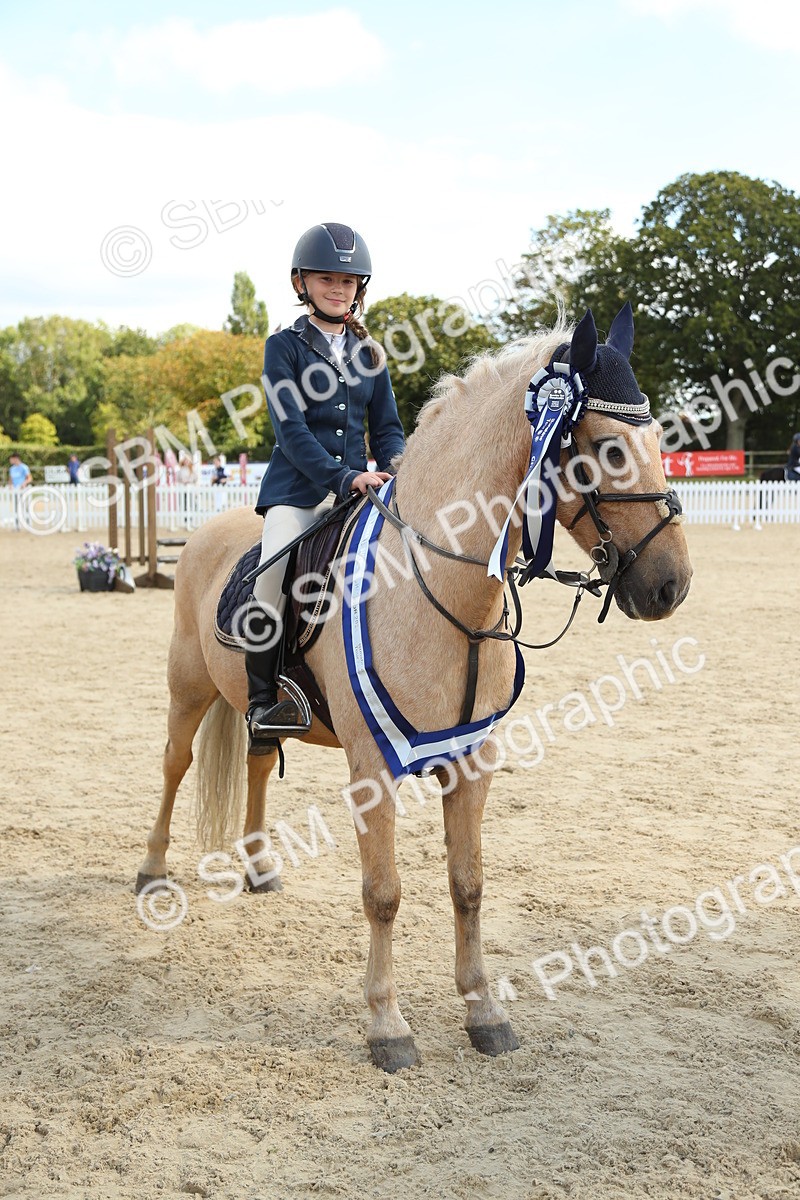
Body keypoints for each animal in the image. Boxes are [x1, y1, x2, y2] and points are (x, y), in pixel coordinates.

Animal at [136, 308, 693, 1073]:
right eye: (607, 448)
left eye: (660, 439)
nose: (673, 586)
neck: (442, 586)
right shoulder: (373, 769)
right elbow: (384, 894)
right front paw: (387, 1027)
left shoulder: (474, 762)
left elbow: (469, 885)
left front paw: (485, 1014)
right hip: (187, 686)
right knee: (173, 764)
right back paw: (153, 872)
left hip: (256, 711)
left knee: (254, 762)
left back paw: (259, 867)